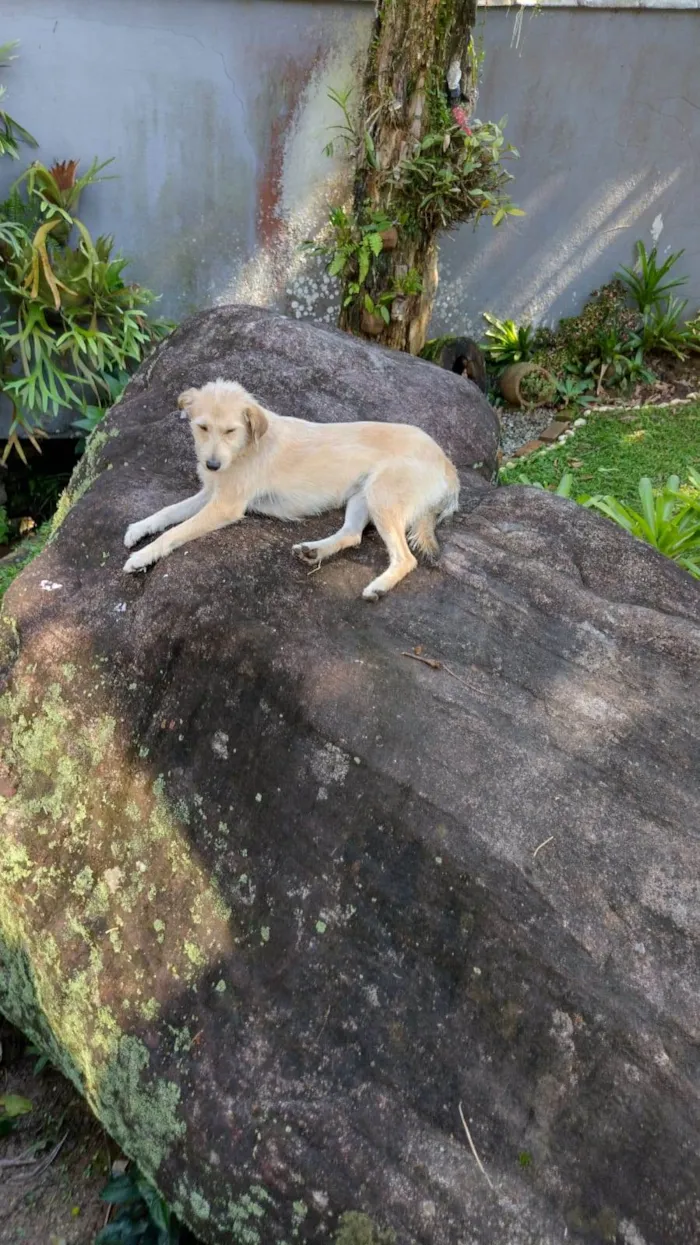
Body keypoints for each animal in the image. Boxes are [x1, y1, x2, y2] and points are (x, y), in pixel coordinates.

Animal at [123, 378, 458, 602]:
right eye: (202, 427)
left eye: (230, 431)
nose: (212, 465)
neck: (246, 447)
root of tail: (446, 461)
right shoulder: (210, 494)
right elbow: (166, 513)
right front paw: (137, 529)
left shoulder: (224, 506)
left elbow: (174, 532)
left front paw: (142, 557)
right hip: (362, 496)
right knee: (352, 535)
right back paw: (314, 551)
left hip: (382, 497)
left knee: (405, 559)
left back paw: (378, 586)